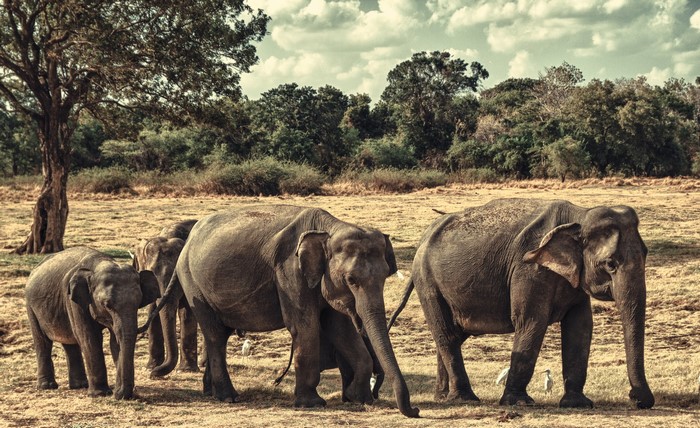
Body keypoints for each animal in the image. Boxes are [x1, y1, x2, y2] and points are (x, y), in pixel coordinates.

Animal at [25, 246, 159, 399]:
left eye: (138, 303)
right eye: (107, 305)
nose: (119, 394)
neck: (100, 263)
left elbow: (115, 340)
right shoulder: (73, 301)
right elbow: (90, 338)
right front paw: (101, 393)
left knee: (70, 342)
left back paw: (80, 385)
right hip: (31, 306)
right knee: (42, 341)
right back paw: (47, 386)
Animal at [133, 219, 198, 377]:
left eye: (177, 275)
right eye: (151, 273)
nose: (153, 375)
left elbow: (187, 313)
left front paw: (186, 370)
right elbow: (153, 311)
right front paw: (150, 367)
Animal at [141, 205, 419, 417]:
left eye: (386, 275)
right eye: (351, 279)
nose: (415, 410)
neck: (329, 229)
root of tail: (188, 241)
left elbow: (340, 329)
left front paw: (357, 398)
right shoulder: (288, 272)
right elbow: (305, 327)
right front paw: (312, 404)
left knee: (219, 334)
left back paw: (212, 392)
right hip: (193, 283)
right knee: (215, 335)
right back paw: (228, 397)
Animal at [389, 199, 654, 409]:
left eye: (646, 253)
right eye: (610, 264)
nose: (638, 399)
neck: (579, 215)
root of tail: (424, 237)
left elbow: (580, 327)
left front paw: (577, 404)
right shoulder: (528, 269)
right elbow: (531, 321)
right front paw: (518, 403)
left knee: (452, 335)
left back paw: (444, 397)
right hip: (428, 282)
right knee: (446, 333)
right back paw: (465, 399)